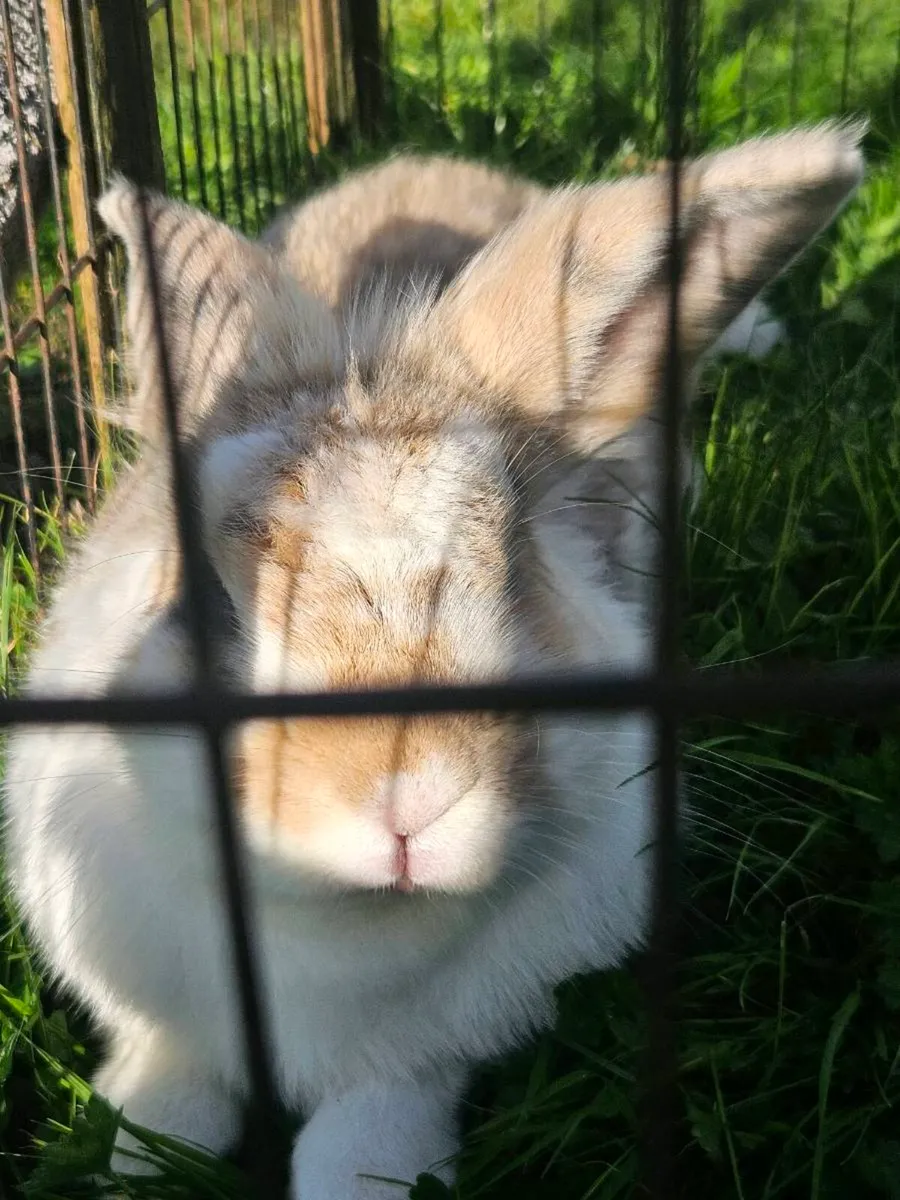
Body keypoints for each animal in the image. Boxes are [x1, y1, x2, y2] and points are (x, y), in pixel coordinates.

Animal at [3, 125, 864, 1199]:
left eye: (517, 575)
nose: (407, 803)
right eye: (202, 602)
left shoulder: (423, 1058)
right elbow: (166, 1079)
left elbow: (370, 1133)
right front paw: (135, 1155)